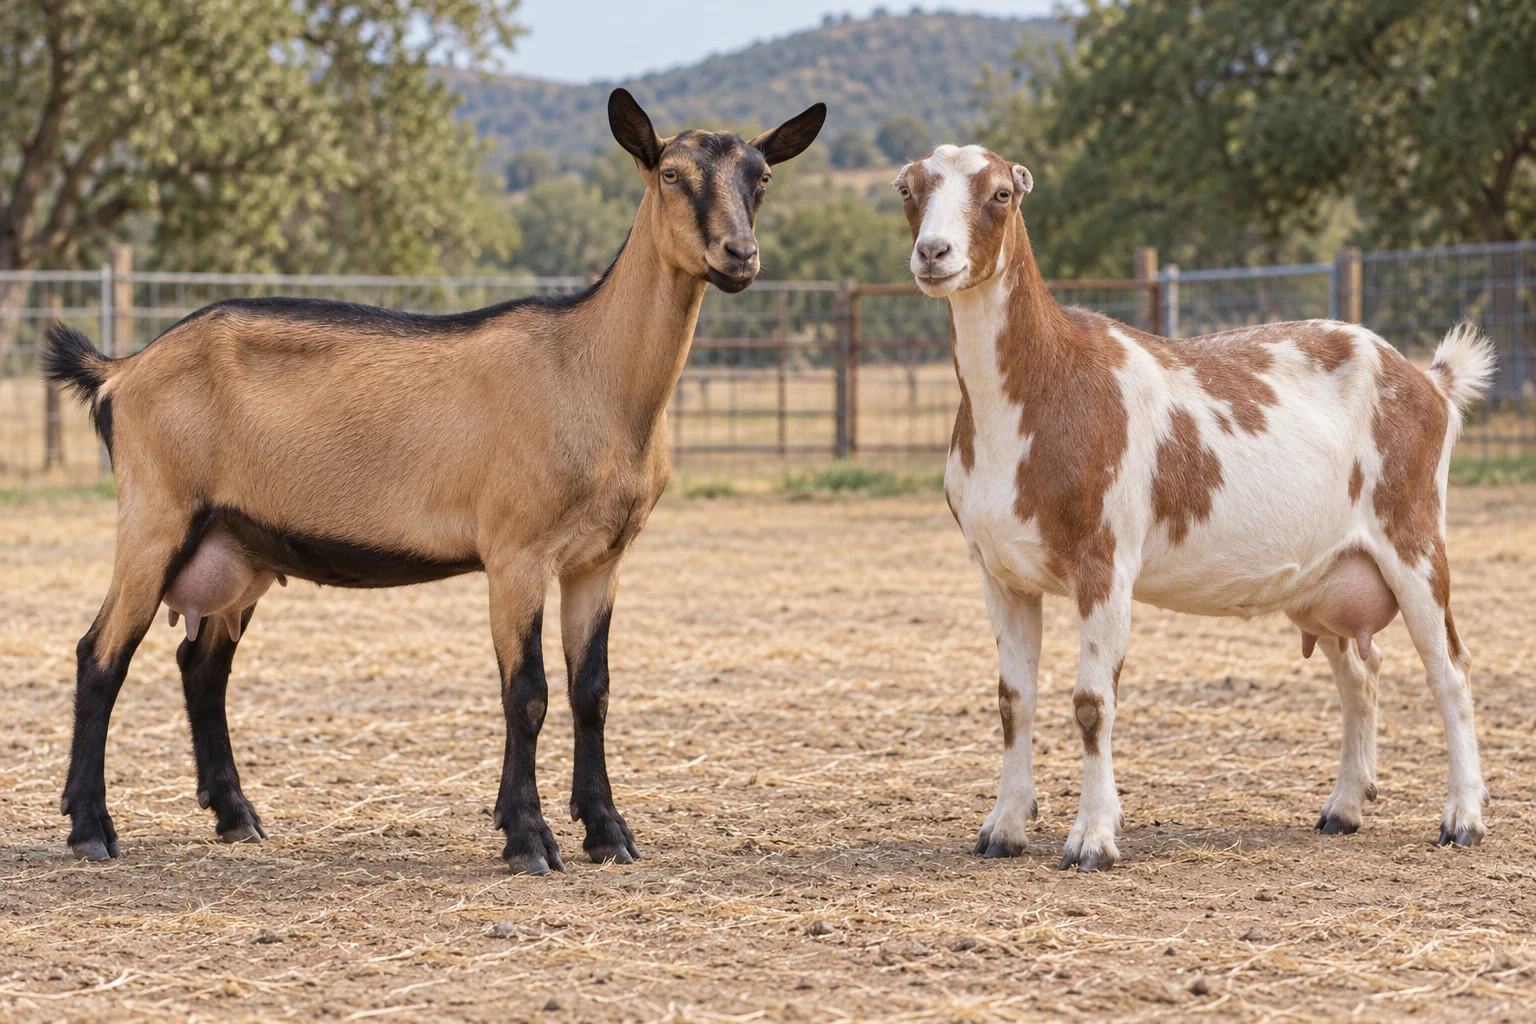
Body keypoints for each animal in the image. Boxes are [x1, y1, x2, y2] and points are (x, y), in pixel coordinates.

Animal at [41, 89, 825, 874]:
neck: (589, 371)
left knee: (202, 668)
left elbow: (592, 692)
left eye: (761, 178)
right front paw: (528, 839)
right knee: (100, 656)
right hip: (156, 515)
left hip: (238, 546)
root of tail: (121, 371)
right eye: (669, 173)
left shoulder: (600, 559)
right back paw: (92, 828)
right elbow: (528, 693)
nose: (739, 256)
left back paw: (237, 816)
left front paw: (608, 833)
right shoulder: (516, 552)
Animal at [894, 144, 1495, 870]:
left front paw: (1092, 838)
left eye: (1001, 194)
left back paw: (1463, 816)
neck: (1047, 384)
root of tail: (1431, 383)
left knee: (1450, 671)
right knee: (1361, 674)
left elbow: (1092, 703)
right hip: (1327, 574)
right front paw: (1004, 827)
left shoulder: (1106, 563)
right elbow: (1014, 701)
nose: (934, 252)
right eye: (908, 189)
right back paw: (1344, 807)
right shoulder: (1000, 572)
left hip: (1414, 534)